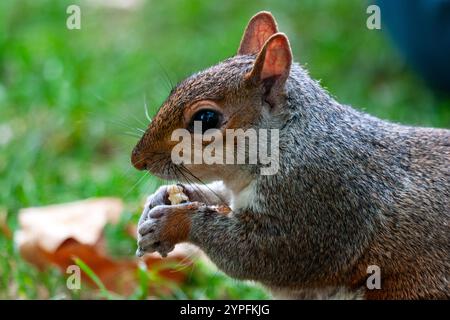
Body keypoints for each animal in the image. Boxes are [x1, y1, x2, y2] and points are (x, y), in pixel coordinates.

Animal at [131, 10, 450, 300]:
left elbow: (265, 255)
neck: (288, 141)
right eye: (176, 88)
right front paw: (160, 200)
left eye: (206, 118)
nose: (137, 160)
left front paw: (173, 223)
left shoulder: (317, 199)